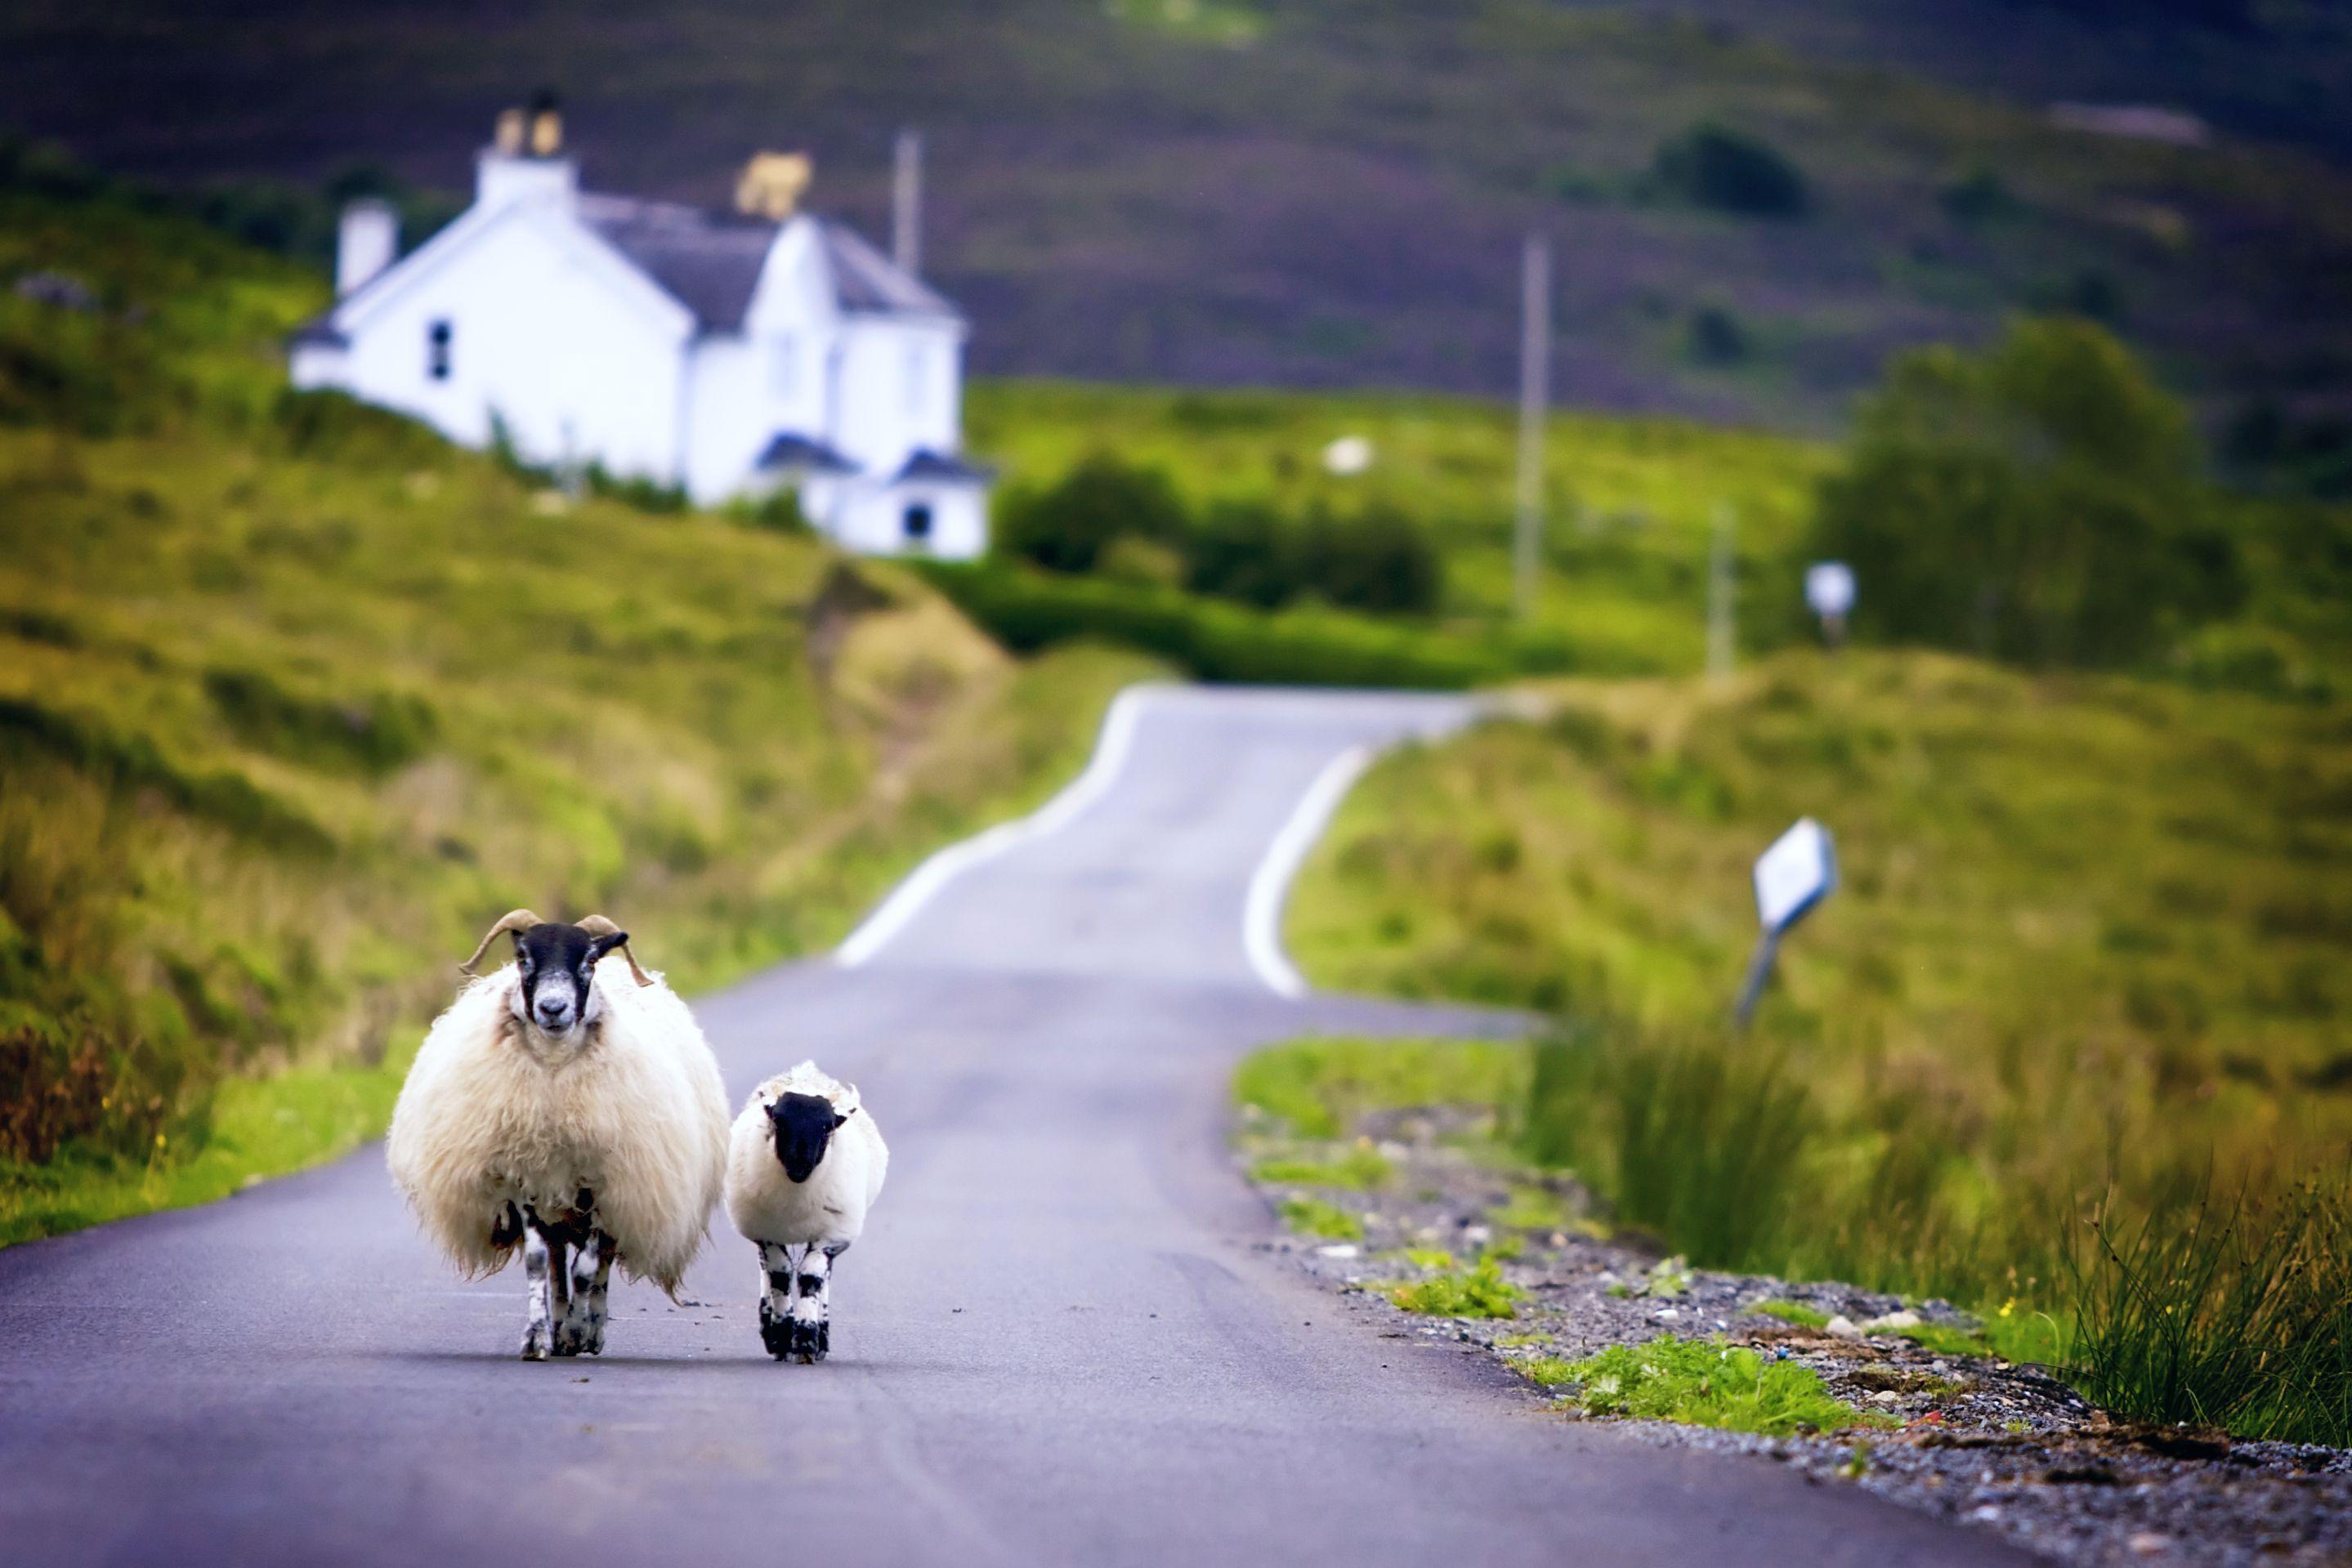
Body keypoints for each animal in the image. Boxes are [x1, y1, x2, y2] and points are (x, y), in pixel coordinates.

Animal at [381, 912, 729, 1354]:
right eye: (522, 957)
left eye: (589, 961)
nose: (552, 1008)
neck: (553, 1077)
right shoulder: (524, 1179)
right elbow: (539, 1263)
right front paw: (538, 1336)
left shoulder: (603, 1184)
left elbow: (587, 1268)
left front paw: (580, 1329)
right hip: (558, 1203)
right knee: (558, 1260)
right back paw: (561, 1324)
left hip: (618, 1194)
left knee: (599, 1263)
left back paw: (589, 1330)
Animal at [719, 1062, 884, 1363]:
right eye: (779, 1122)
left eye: (826, 1127)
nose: (800, 1163)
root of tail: (807, 1072)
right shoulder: (767, 1234)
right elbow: (780, 1274)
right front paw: (781, 1336)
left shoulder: (830, 1235)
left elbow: (811, 1278)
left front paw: (807, 1340)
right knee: (766, 1269)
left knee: (823, 1277)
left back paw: (821, 1336)